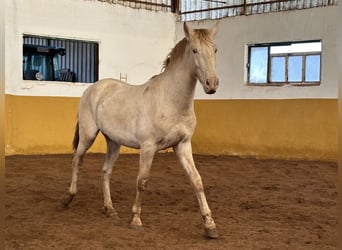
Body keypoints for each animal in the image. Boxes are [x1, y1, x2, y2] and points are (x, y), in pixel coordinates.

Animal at [61, 22, 220, 238]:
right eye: (195, 50)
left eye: (215, 50)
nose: (212, 84)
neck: (170, 100)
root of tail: (93, 88)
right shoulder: (148, 147)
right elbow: (142, 182)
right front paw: (136, 220)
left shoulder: (183, 145)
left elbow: (197, 180)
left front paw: (210, 225)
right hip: (88, 136)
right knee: (77, 161)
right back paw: (68, 198)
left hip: (113, 142)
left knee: (106, 171)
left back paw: (110, 210)